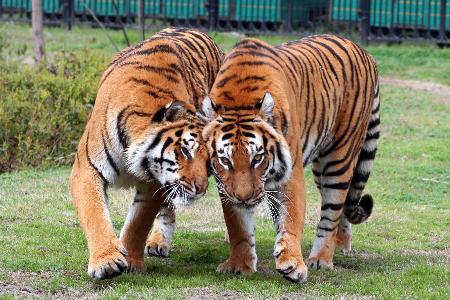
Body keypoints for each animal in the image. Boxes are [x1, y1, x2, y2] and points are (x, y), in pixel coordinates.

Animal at [71, 27, 224, 280]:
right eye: (186, 150)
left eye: (209, 162)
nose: (201, 189)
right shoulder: (88, 167)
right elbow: (95, 213)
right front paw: (107, 261)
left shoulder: (155, 180)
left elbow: (138, 222)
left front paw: (131, 261)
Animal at [200, 35, 380, 284]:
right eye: (225, 160)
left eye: (258, 157)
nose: (245, 198)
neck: (240, 99)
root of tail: (364, 52)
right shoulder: (225, 185)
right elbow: (238, 226)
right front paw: (239, 264)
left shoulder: (290, 175)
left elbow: (292, 219)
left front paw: (293, 263)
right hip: (320, 169)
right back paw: (341, 243)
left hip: (339, 157)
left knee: (332, 211)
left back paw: (321, 259)